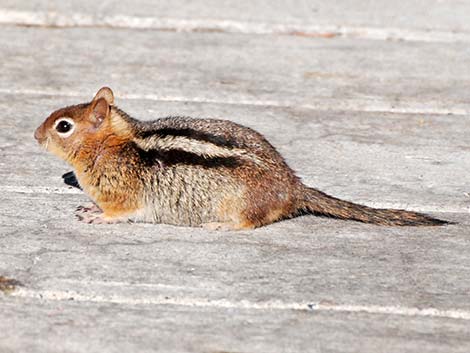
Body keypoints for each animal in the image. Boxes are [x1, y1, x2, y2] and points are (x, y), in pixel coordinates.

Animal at [34, 87, 448, 230]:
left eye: (63, 126)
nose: (36, 135)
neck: (114, 145)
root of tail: (292, 187)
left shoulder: (123, 196)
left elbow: (118, 211)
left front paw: (95, 214)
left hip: (240, 204)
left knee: (252, 223)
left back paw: (221, 226)